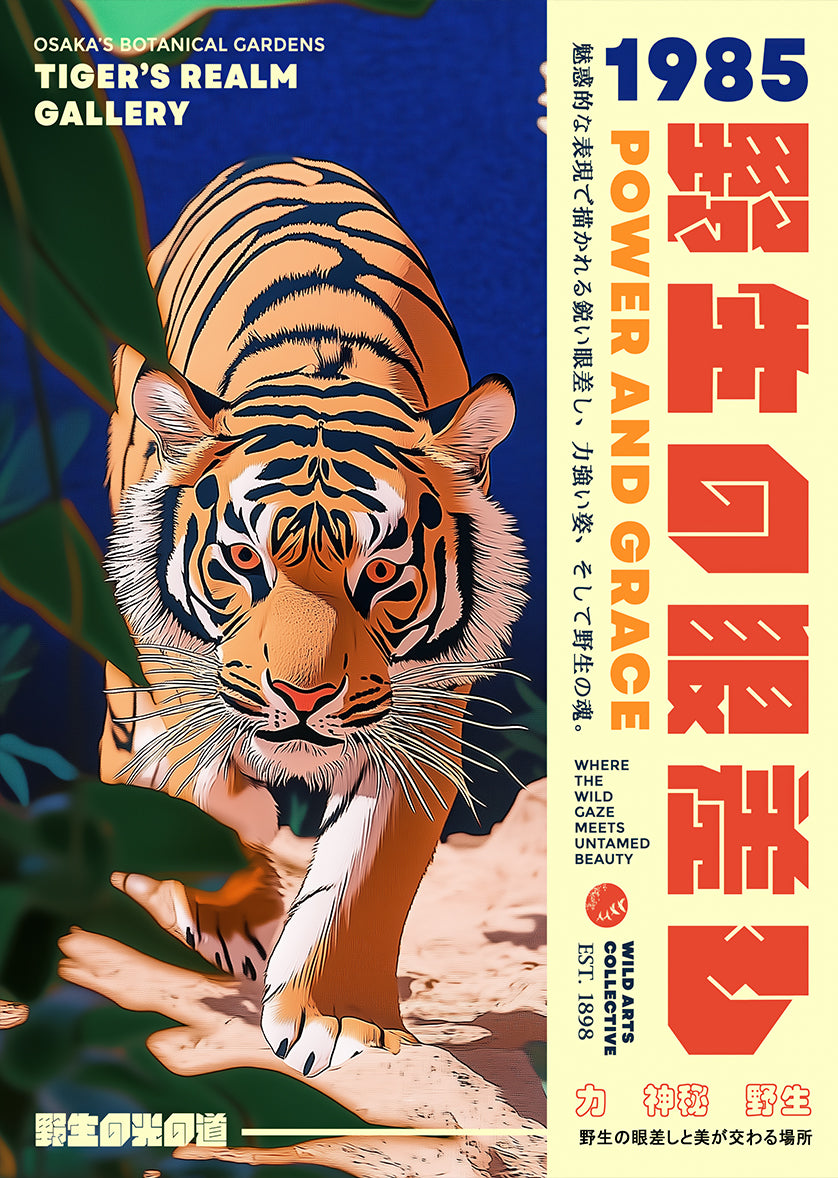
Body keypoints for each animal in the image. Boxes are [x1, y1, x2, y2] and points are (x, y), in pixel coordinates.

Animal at [101, 157, 527, 1078]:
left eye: (382, 574)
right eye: (243, 561)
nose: (299, 699)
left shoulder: (421, 719)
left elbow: (367, 872)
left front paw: (337, 1020)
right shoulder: (180, 671)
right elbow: (205, 781)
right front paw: (237, 908)